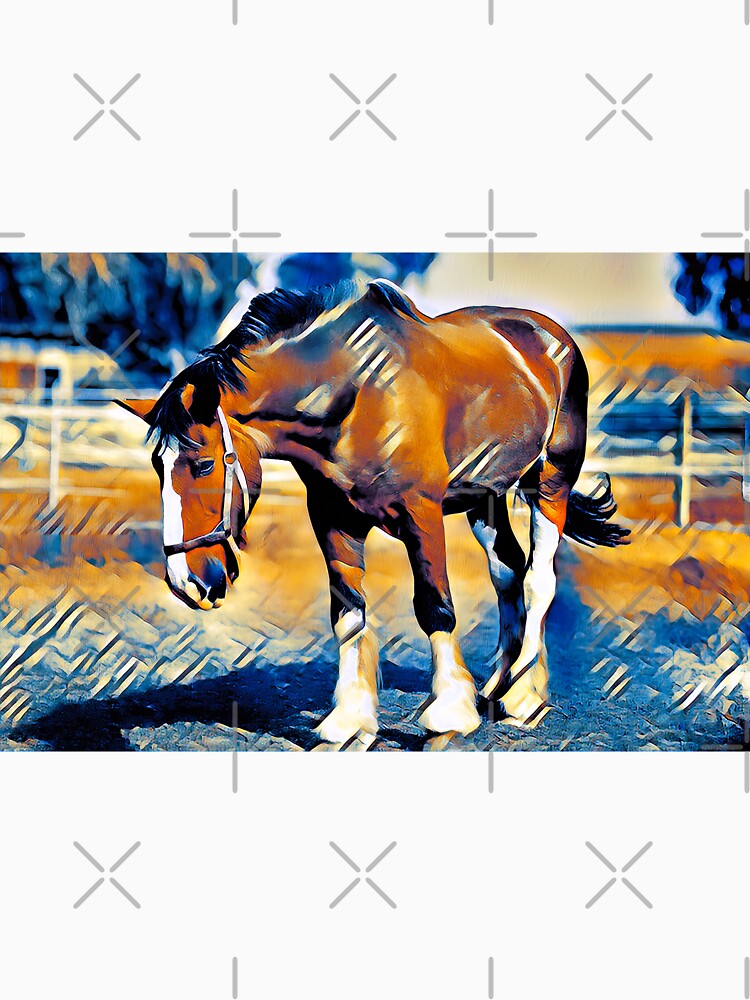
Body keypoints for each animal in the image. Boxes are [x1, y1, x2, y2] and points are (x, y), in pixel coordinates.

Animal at [119, 278, 629, 744]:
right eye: (157, 466)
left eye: (203, 464)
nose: (186, 582)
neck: (357, 396)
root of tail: (550, 336)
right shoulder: (334, 520)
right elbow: (348, 613)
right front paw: (349, 721)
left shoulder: (421, 515)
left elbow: (435, 607)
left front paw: (448, 712)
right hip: (486, 497)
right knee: (507, 572)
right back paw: (496, 688)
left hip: (550, 482)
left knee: (539, 578)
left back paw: (523, 698)